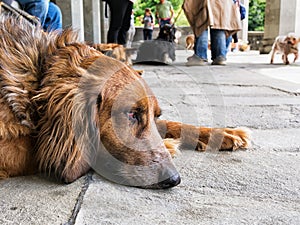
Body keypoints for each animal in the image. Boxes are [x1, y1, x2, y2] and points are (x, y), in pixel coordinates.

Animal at [0, 14, 251, 189]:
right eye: (131, 115)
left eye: (154, 114)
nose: (174, 179)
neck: (38, 77)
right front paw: (170, 145)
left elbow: (173, 125)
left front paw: (223, 134)